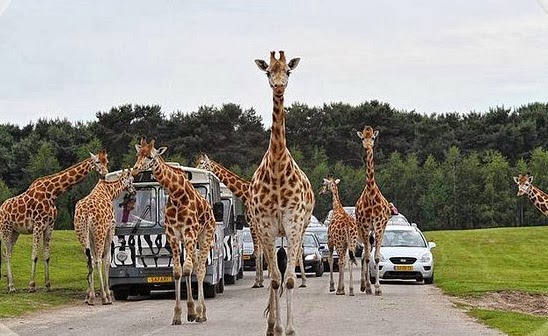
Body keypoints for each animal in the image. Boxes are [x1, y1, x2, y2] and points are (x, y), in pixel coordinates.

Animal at [0, 151, 110, 292]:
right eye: (97, 162)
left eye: (106, 161)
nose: (105, 173)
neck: (52, 193)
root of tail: (1, 208)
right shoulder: (38, 224)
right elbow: (34, 255)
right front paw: (31, 285)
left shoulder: (49, 225)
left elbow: (47, 255)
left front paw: (48, 284)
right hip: (6, 229)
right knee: (7, 254)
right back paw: (11, 286)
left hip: (15, 232)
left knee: (7, 253)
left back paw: (10, 284)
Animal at [73, 168, 134, 304]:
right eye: (132, 179)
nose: (134, 190)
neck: (109, 192)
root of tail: (86, 214)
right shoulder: (110, 229)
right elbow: (107, 260)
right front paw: (106, 293)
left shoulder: (91, 236)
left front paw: (88, 294)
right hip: (99, 233)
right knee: (98, 260)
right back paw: (104, 297)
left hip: (82, 234)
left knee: (89, 260)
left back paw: (90, 297)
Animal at [133, 138, 216, 324]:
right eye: (138, 154)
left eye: (150, 156)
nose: (134, 170)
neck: (177, 195)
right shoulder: (173, 235)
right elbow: (178, 272)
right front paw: (178, 315)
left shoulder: (189, 232)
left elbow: (187, 269)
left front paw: (192, 312)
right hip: (190, 241)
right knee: (197, 266)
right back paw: (197, 311)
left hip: (205, 235)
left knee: (201, 269)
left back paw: (202, 313)